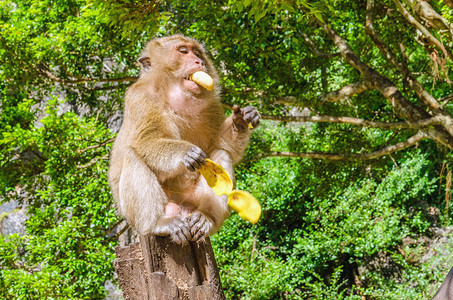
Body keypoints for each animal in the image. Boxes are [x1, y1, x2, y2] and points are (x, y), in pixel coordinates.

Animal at [107, 34, 260, 244]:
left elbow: (220, 146)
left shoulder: (212, 105)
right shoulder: (141, 98)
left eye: (197, 52)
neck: (177, 96)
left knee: (220, 154)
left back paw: (206, 218)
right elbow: (146, 140)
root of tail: (181, 208)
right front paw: (185, 153)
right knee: (133, 154)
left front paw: (241, 120)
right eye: (183, 51)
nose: (199, 62)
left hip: (193, 200)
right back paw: (158, 223)